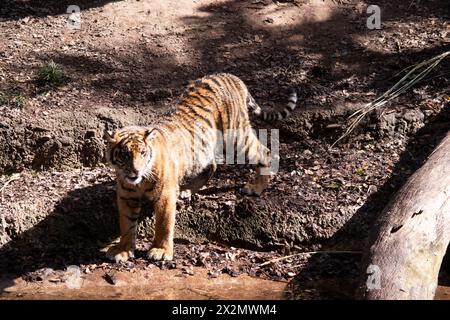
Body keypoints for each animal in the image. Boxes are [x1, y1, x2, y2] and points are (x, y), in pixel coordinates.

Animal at [103, 73, 298, 262]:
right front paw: (123, 249)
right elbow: (126, 224)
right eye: (125, 155)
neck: (139, 182)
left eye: (143, 153)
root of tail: (232, 76)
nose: (135, 171)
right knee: (212, 165)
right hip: (203, 150)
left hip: (236, 138)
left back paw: (256, 187)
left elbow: (163, 223)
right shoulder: (127, 196)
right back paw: (186, 190)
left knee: (264, 152)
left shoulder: (165, 194)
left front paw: (161, 251)